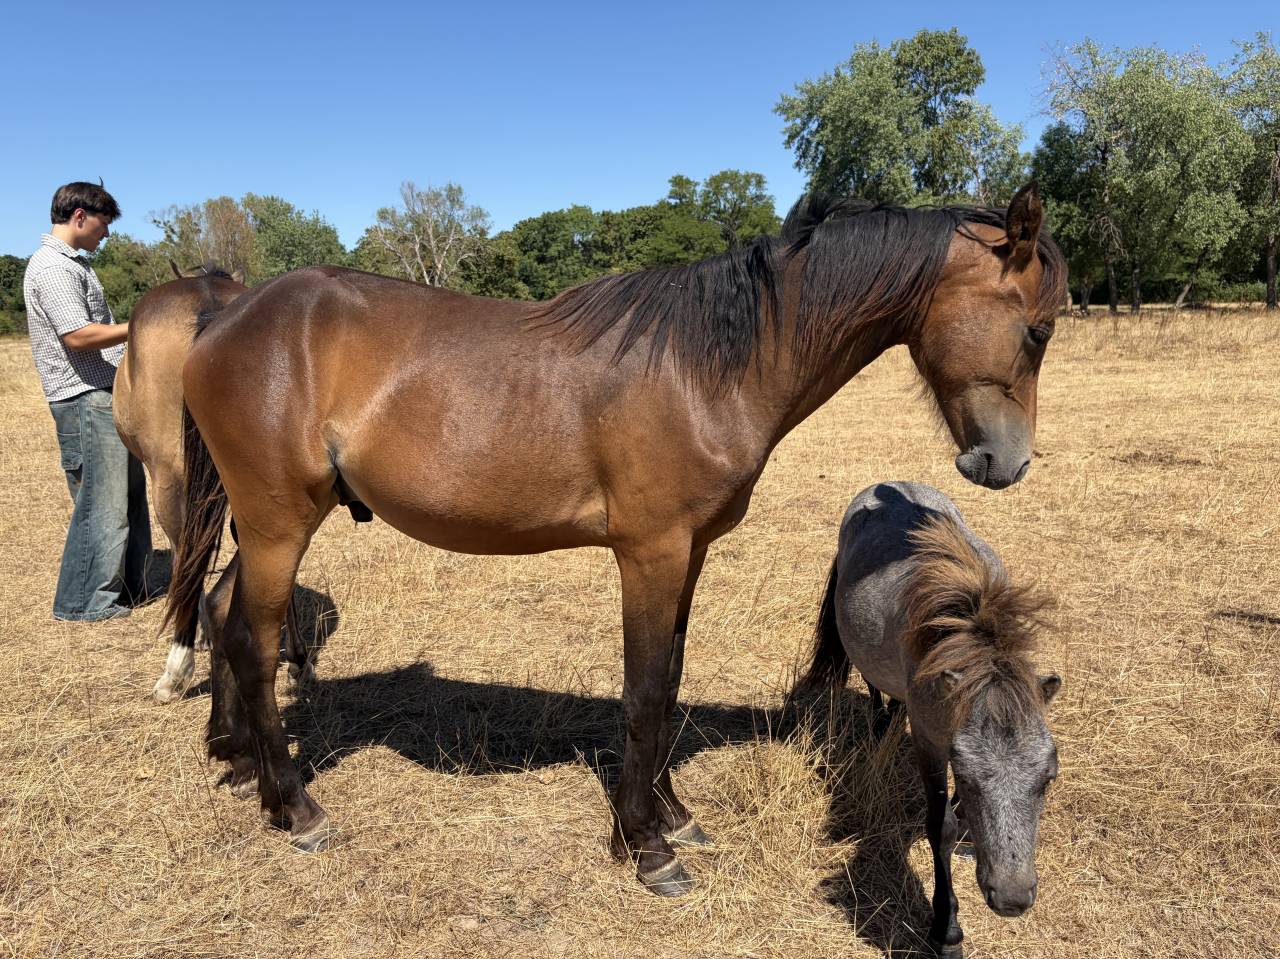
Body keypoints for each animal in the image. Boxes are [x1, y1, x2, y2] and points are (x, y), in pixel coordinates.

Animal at [163, 183, 1066, 896]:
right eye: (1037, 330)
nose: (1007, 461)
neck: (708, 367)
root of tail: (225, 316)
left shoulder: (691, 553)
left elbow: (669, 682)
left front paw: (673, 813)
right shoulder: (651, 553)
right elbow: (643, 694)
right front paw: (648, 846)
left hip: (263, 524)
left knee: (222, 612)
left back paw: (239, 763)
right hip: (280, 522)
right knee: (252, 641)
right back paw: (297, 805)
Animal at [797, 481, 1061, 957]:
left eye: (1047, 778)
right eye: (969, 778)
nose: (1012, 898)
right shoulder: (931, 744)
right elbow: (941, 827)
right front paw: (946, 930)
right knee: (874, 684)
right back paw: (881, 722)